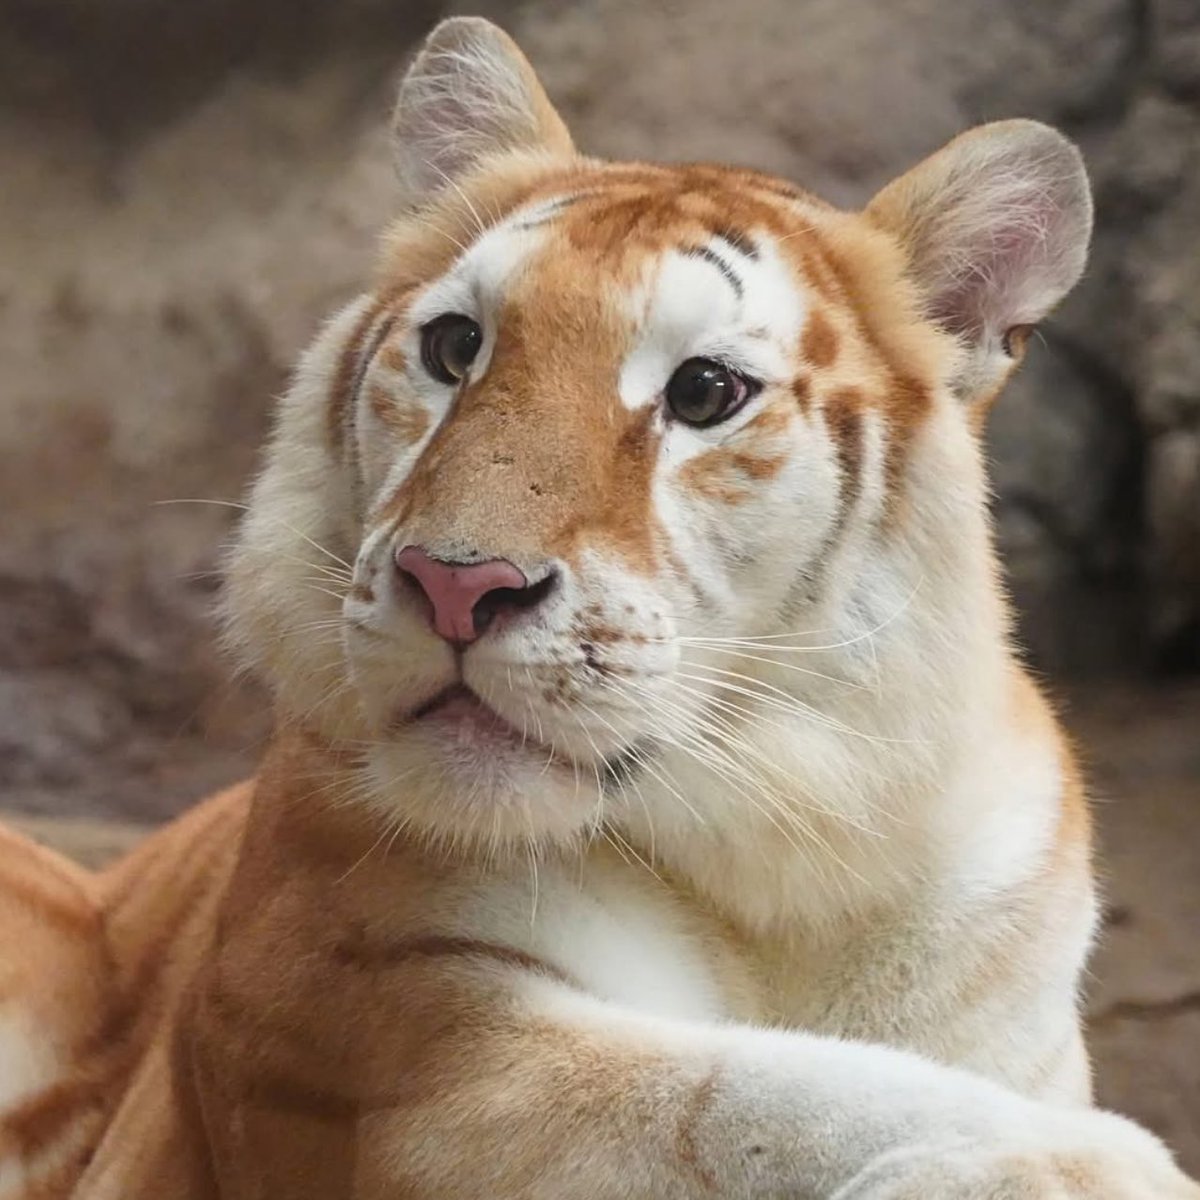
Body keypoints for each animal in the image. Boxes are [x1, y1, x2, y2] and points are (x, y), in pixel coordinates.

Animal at [2, 15, 1197, 1199]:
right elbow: (730, 1098)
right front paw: (1087, 1164)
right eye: (456, 347)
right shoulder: (371, 1045)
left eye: (704, 392)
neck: (792, 869)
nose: (455, 583)